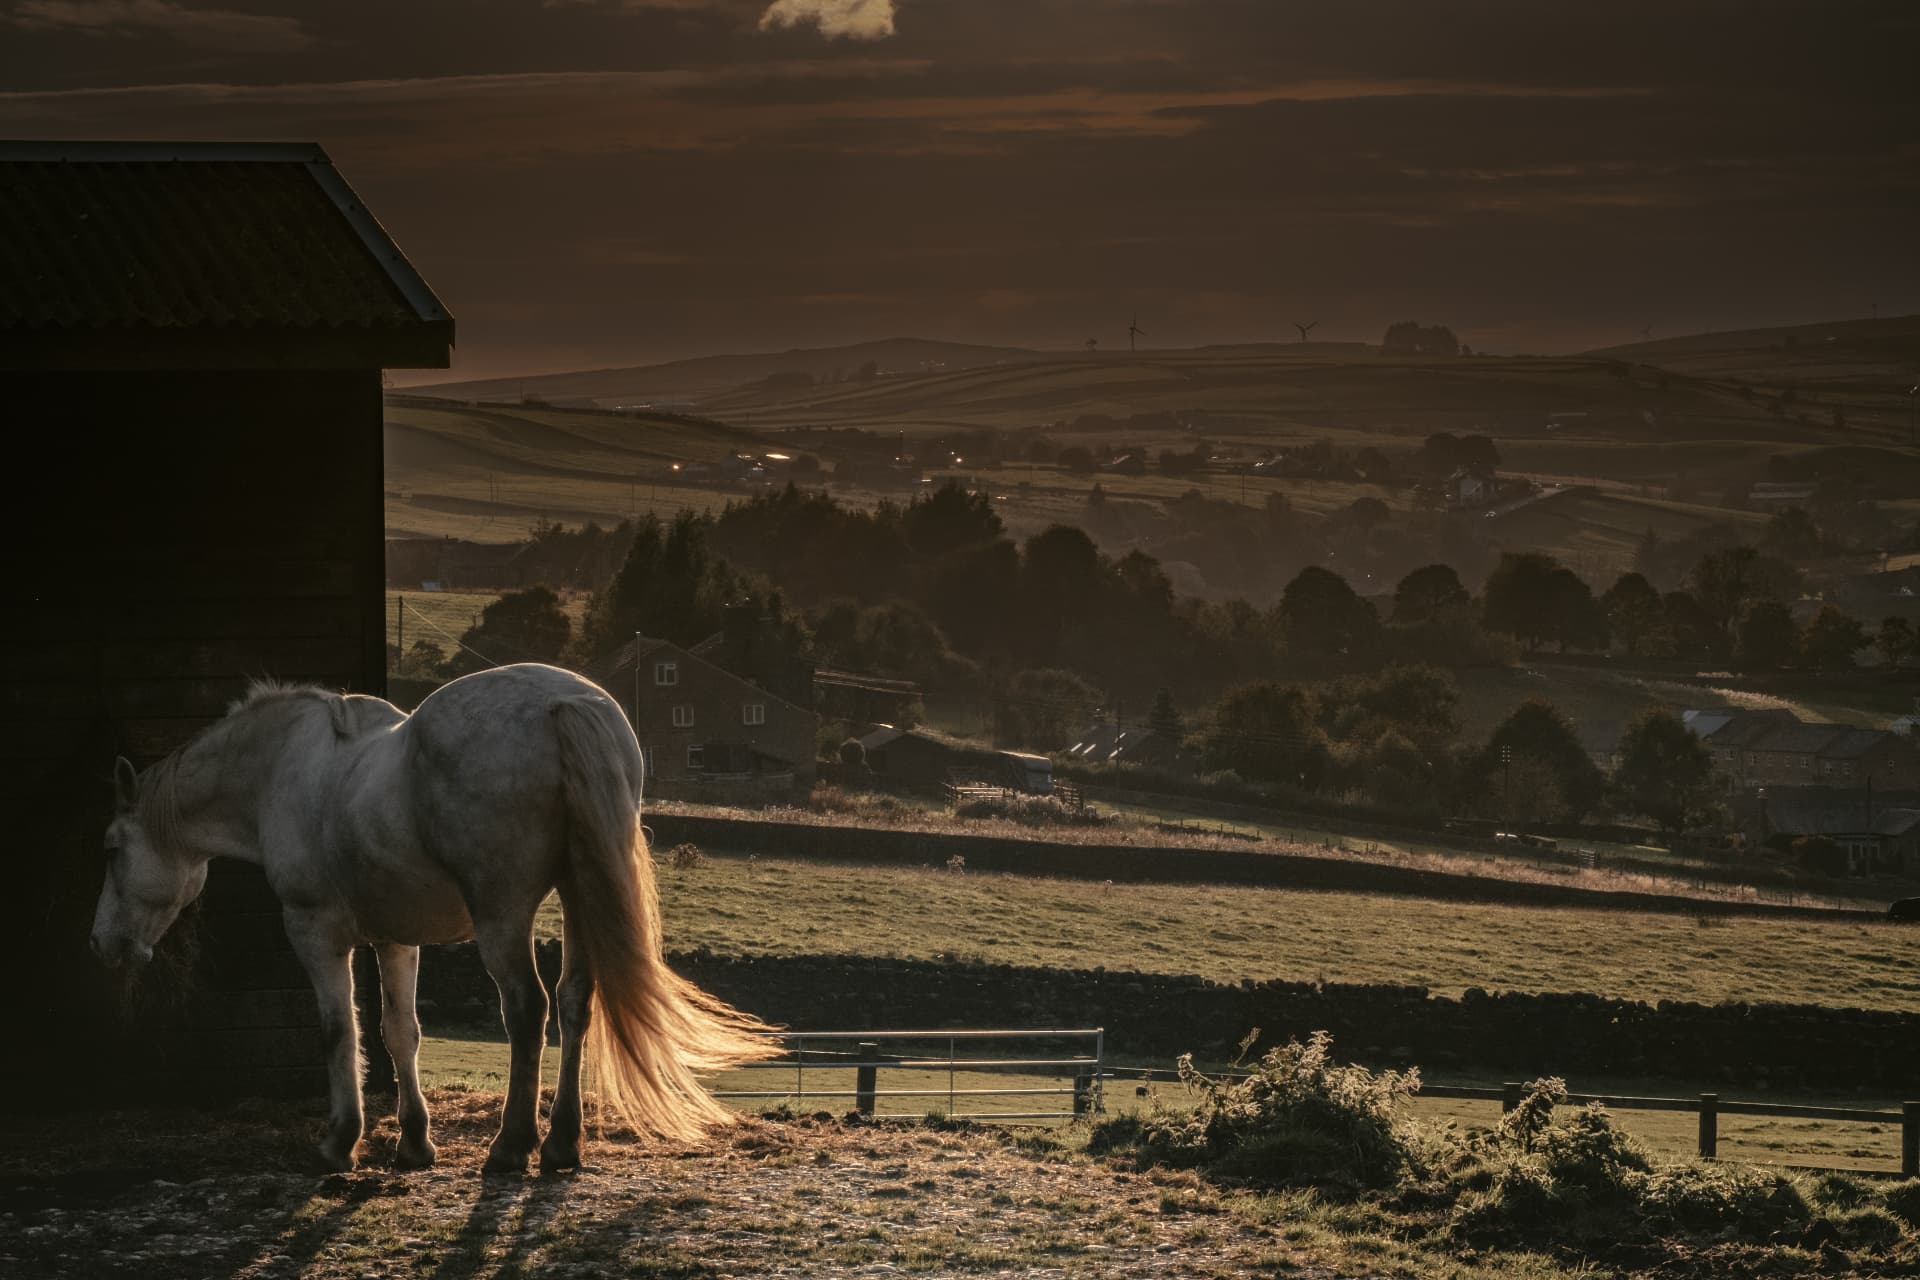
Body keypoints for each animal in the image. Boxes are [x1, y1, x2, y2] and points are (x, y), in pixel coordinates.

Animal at [88, 662, 778, 1174]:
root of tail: (563, 705)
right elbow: (400, 1033)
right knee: (575, 1001)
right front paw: (415, 1143)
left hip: (503, 915)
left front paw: (340, 1142)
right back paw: (560, 1144)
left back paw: (511, 1147)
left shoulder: (316, 933)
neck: (287, 768)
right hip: (580, 897)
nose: (104, 943)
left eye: (113, 847)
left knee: (527, 1009)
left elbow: (339, 1031)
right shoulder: (396, 940)